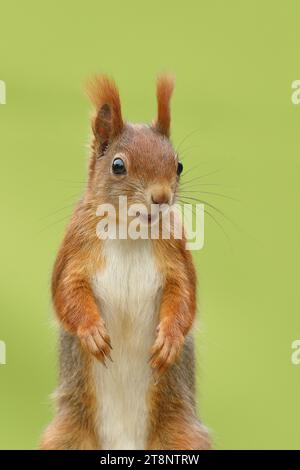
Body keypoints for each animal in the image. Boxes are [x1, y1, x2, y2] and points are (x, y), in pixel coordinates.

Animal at [39, 75, 211, 450]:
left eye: (178, 165)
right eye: (118, 165)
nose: (161, 197)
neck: (129, 231)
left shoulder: (176, 252)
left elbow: (184, 294)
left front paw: (169, 341)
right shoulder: (75, 248)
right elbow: (66, 291)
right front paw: (92, 333)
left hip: (181, 435)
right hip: (67, 436)